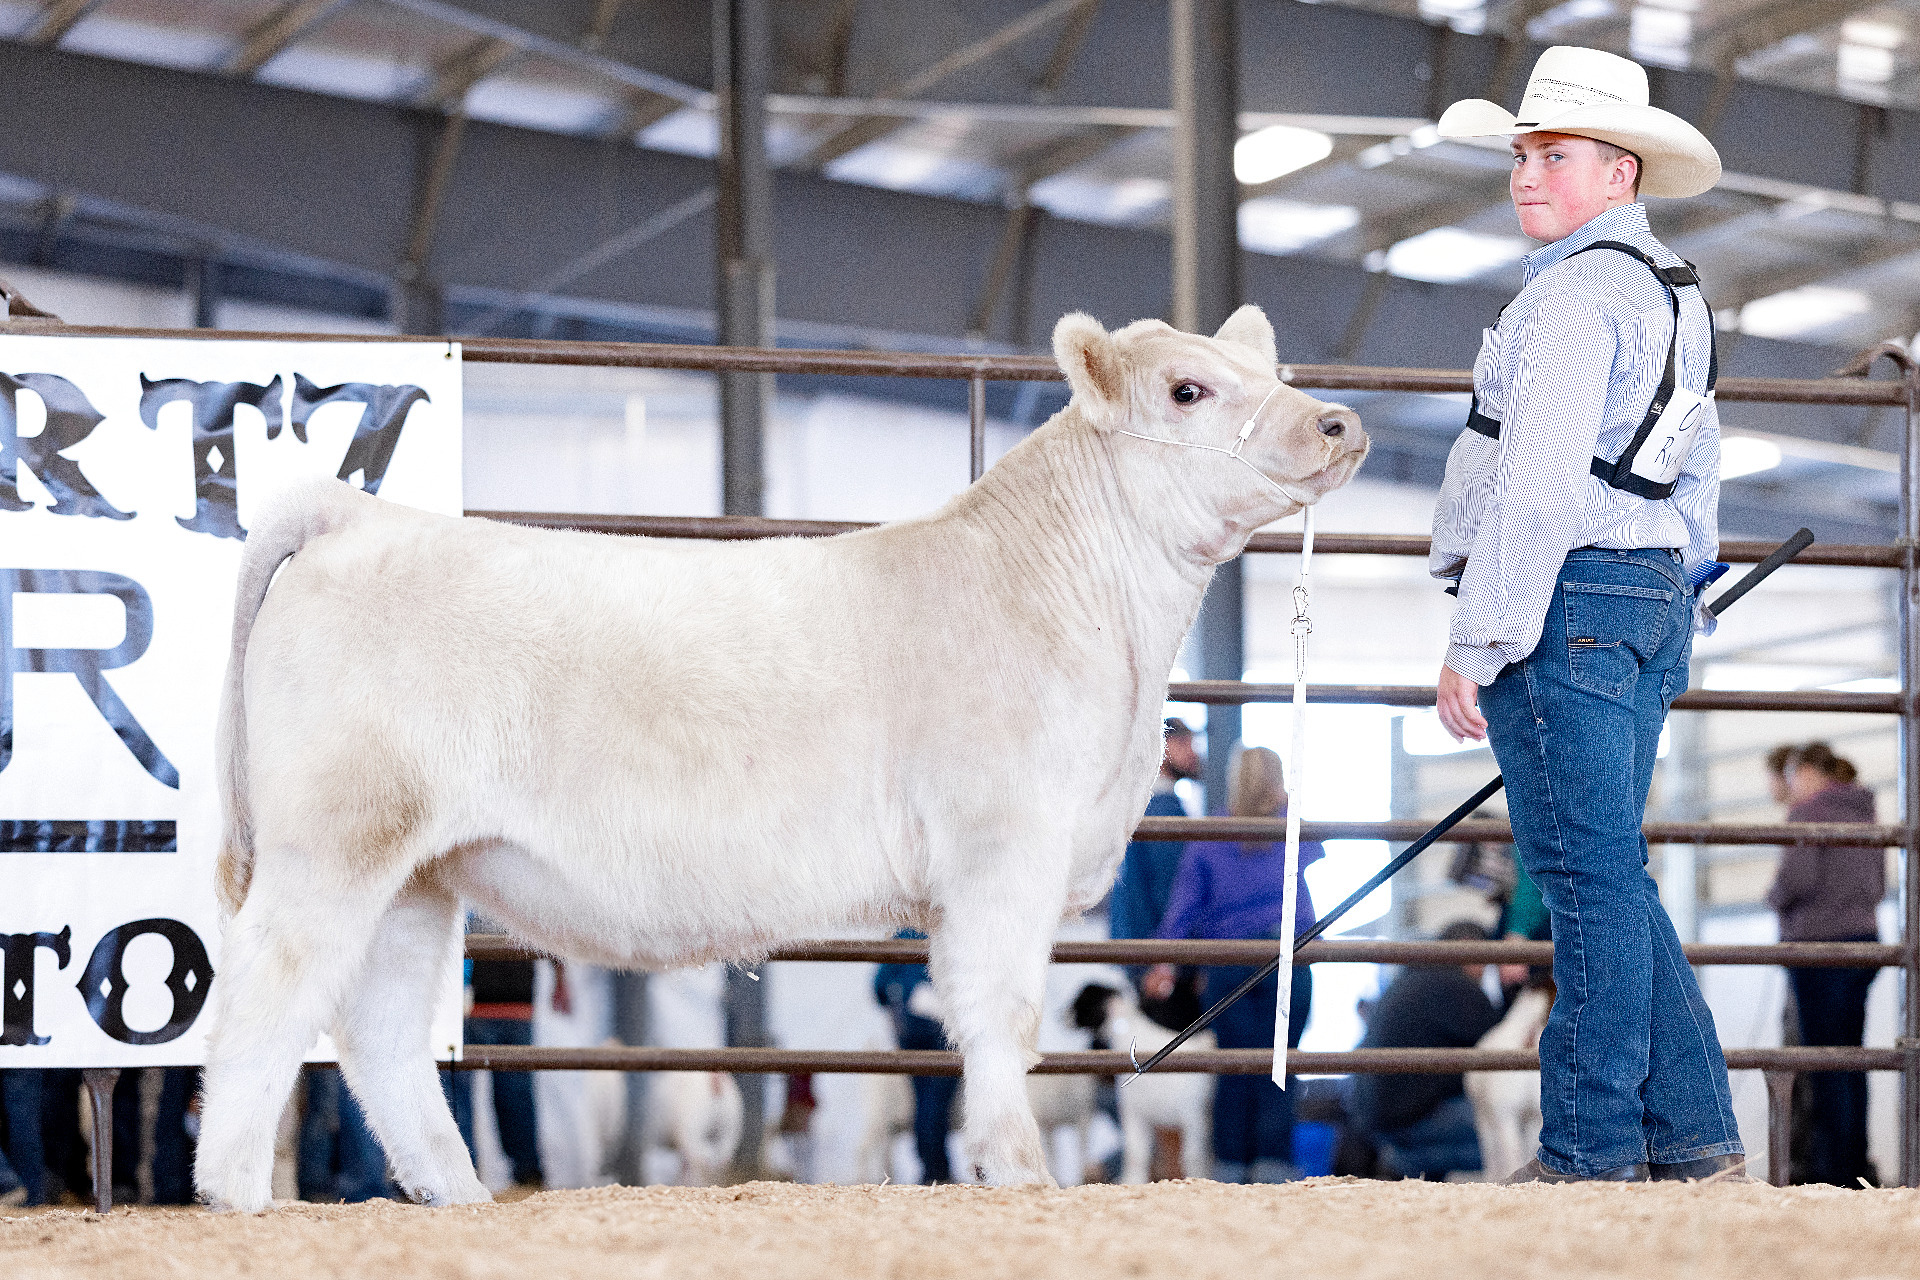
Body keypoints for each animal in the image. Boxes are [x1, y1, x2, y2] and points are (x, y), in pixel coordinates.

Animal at [193, 306, 1368, 1211]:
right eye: (1187, 389)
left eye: (1273, 373)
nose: (1338, 420)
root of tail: (352, 515)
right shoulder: (1003, 845)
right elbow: (1004, 1014)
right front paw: (1020, 1172)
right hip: (336, 840)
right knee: (267, 991)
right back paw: (239, 1193)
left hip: (418, 872)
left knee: (382, 1032)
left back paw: (457, 1192)